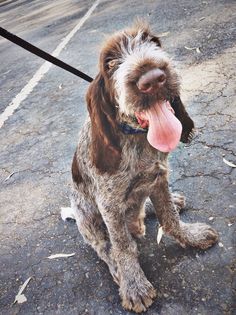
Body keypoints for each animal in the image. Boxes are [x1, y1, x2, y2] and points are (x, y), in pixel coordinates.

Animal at [67, 22, 218, 314]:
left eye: (153, 43)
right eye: (111, 63)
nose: (152, 79)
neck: (136, 137)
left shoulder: (159, 178)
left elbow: (170, 218)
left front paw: (190, 236)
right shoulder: (109, 204)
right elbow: (122, 246)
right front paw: (134, 284)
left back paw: (161, 204)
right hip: (87, 215)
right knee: (103, 246)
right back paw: (116, 266)